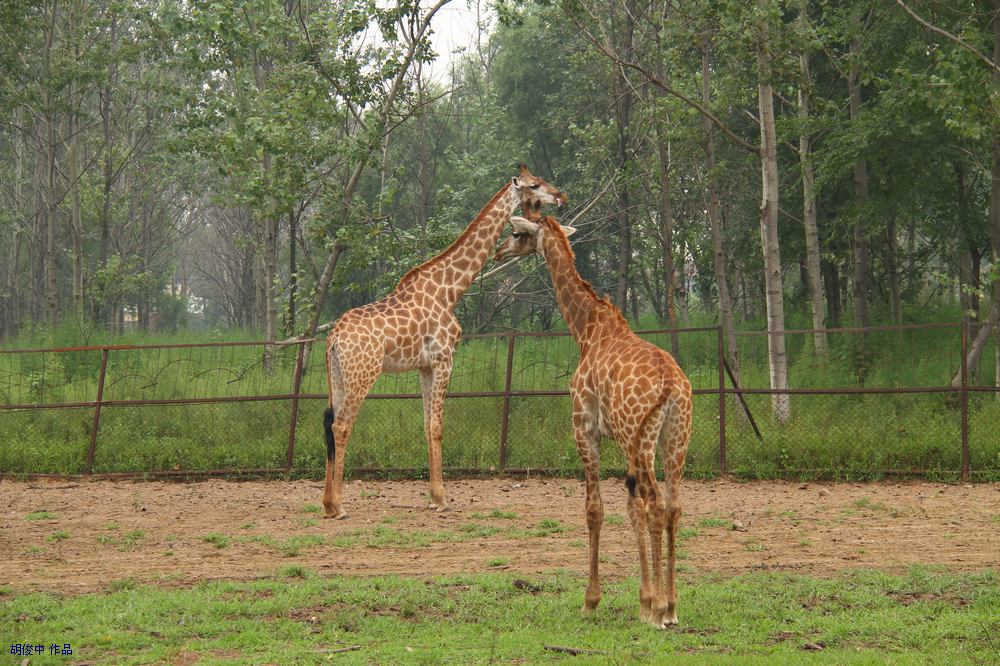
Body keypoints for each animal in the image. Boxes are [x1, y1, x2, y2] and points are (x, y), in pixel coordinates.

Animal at [324, 166, 568, 520]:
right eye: (535, 185)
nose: (561, 195)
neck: (450, 289)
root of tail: (333, 338)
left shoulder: (425, 366)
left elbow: (427, 426)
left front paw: (433, 495)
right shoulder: (444, 359)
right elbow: (438, 425)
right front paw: (442, 498)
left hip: (338, 376)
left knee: (330, 425)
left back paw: (328, 504)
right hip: (363, 373)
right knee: (342, 426)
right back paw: (340, 506)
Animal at [494, 214, 696, 628]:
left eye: (517, 233)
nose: (499, 251)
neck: (586, 329)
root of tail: (672, 386)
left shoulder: (584, 425)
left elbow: (595, 508)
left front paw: (592, 601)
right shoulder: (622, 439)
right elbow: (631, 508)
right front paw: (643, 600)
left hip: (645, 436)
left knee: (656, 504)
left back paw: (661, 611)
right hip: (675, 437)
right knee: (672, 506)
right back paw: (671, 607)